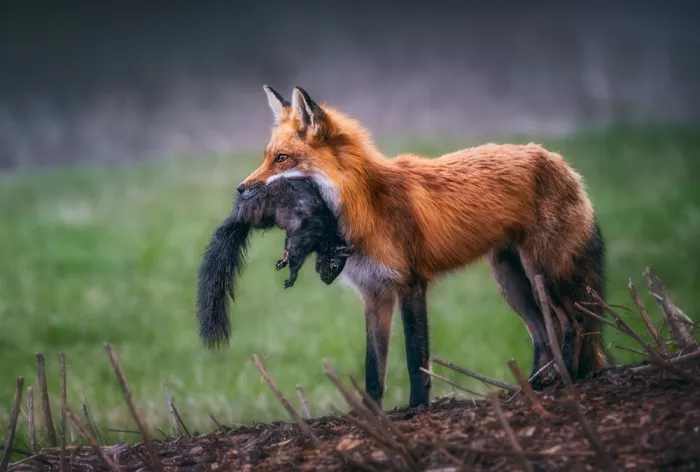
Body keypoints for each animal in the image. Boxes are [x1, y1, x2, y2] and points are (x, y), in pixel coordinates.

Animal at [196, 177, 354, 347]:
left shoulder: (296, 234)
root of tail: (240, 211)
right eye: (334, 265)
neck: (328, 235)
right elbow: (296, 255)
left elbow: (288, 244)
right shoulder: (307, 234)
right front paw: (292, 277)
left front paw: (283, 261)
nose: (327, 281)